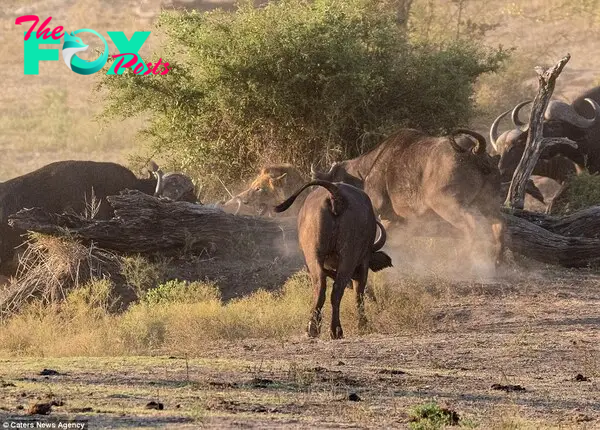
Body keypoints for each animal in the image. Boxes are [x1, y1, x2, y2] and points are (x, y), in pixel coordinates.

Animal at [274, 179, 394, 340]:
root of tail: (336, 193)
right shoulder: (363, 262)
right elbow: (359, 294)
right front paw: (363, 325)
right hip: (348, 256)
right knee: (337, 290)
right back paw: (336, 329)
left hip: (313, 255)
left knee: (321, 286)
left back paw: (314, 328)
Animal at [312, 127, 504, 266]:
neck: (367, 171)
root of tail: (475, 152)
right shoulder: (398, 221)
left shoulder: (380, 214)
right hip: (490, 205)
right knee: (499, 225)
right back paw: (496, 260)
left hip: (450, 206)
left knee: (473, 226)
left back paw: (463, 258)